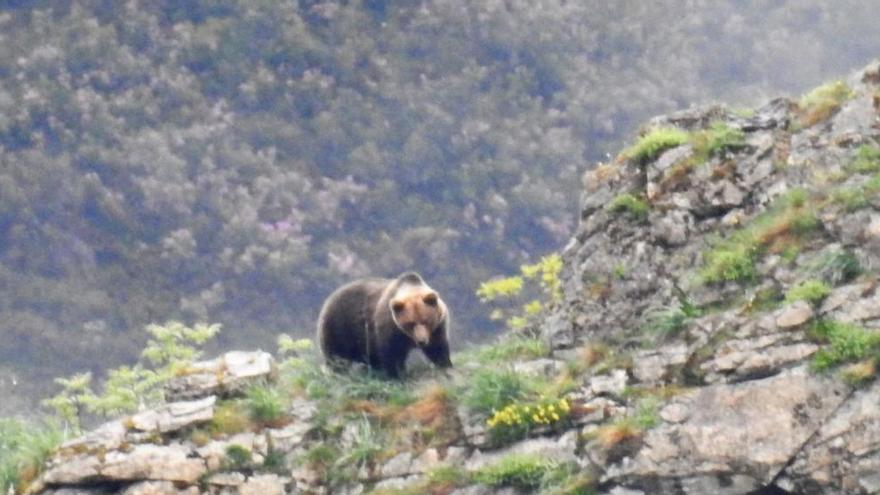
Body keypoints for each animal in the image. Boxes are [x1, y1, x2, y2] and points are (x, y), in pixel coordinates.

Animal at [318, 274, 454, 378]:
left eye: (426, 320)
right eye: (410, 323)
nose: (421, 341)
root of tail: (329, 299)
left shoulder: (438, 326)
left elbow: (437, 347)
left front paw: (445, 364)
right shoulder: (389, 327)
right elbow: (391, 354)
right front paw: (397, 375)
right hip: (340, 327)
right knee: (336, 357)